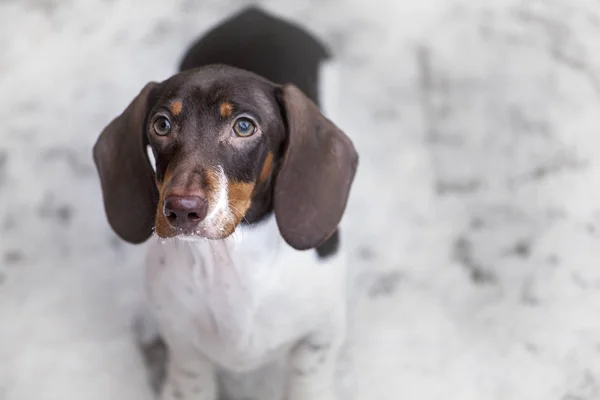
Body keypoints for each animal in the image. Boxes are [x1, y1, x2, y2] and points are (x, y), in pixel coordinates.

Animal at [93, 7, 356, 400]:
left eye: (244, 127)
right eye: (161, 124)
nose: (182, 208)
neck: (229, 262)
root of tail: (255, 12)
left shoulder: (319, 337)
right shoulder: (186, 350)